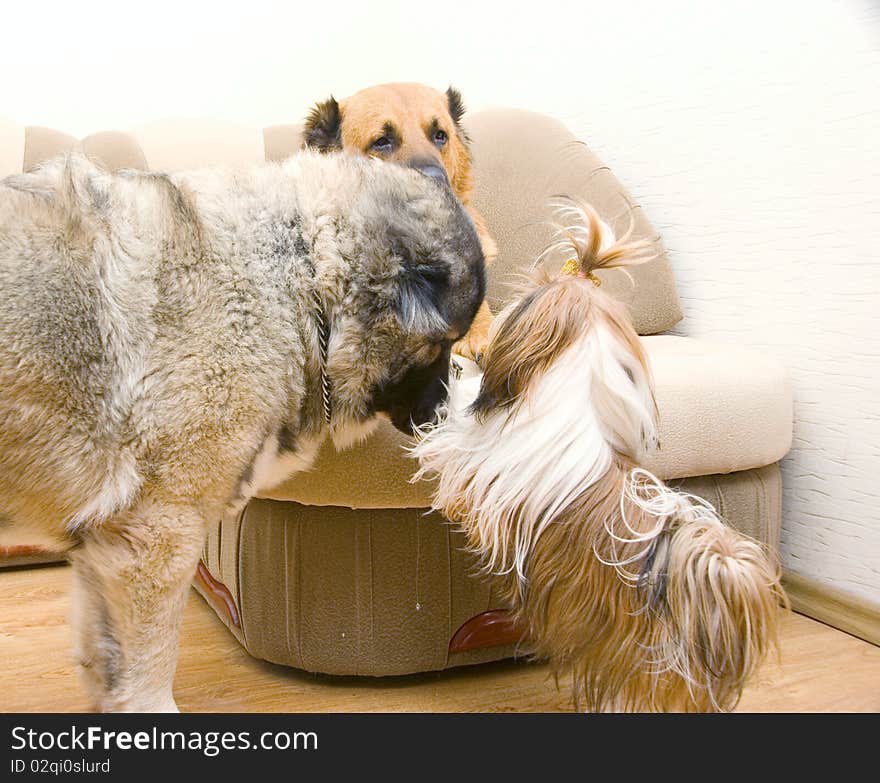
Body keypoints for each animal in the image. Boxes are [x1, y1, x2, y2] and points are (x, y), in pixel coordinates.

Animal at [0, 150, 482, 712]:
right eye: (443, 345)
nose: (446, 409)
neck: (302, 277)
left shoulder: (107, 548)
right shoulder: (158, 535)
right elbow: (148, 664)